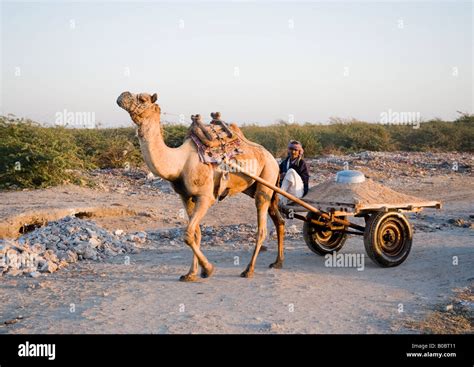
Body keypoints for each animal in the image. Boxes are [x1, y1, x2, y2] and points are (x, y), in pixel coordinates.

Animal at [116, 91, 286, 282]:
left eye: (143, 99)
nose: (123, 95)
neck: (179, 163)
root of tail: (274, 159)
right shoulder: (186, 197)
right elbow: (196, 234)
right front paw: (191, 274)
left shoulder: (206, 197)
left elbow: (188, 234)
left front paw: (208, 269)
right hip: (258, 186)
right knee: (279, 220)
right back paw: (278, 262)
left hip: (266, 179)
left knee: (262, 228)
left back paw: (248, 270)